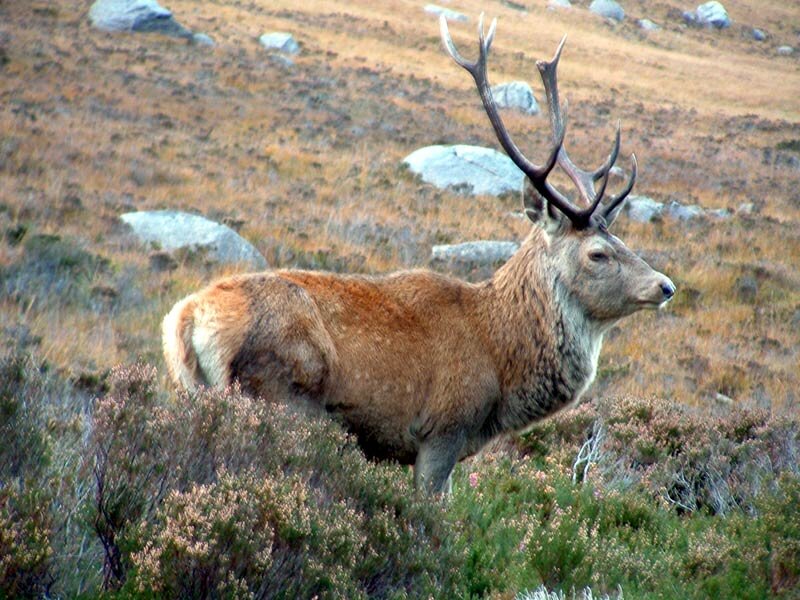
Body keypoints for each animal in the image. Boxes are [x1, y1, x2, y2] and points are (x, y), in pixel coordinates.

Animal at [162, 14, 675, 495]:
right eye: (597, 254)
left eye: (623, 241)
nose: (666, 285)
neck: (500, 361)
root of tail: (186, 318)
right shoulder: (442, 429)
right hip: (278, 395)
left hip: (192, 392)